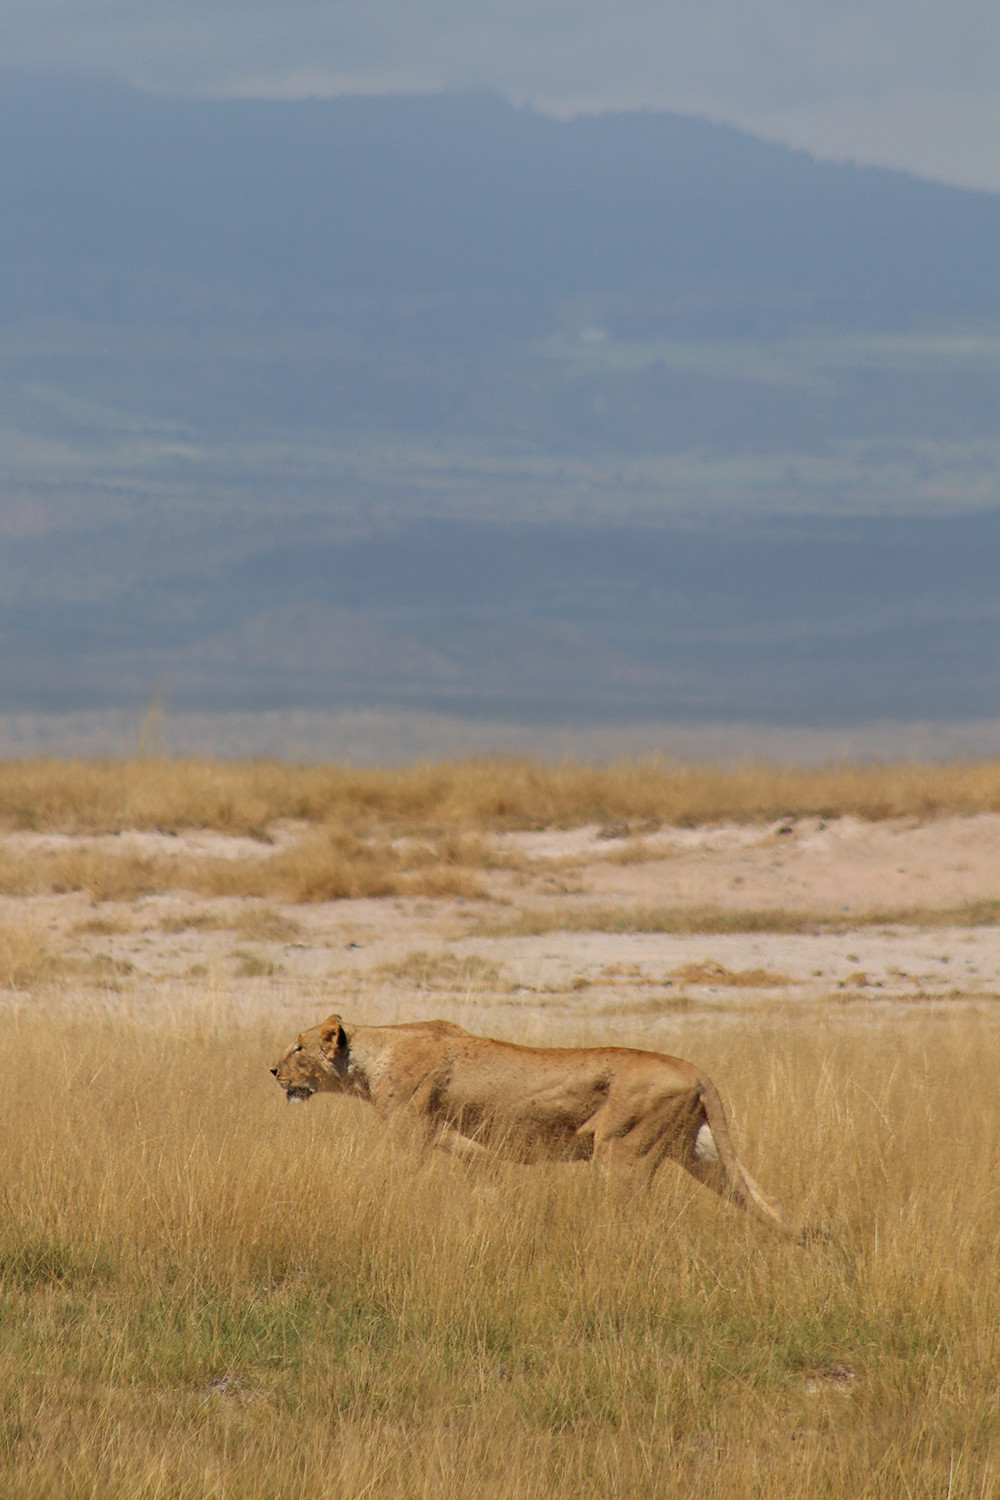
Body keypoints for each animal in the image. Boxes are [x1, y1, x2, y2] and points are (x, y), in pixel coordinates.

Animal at [271, 1014, 793, 1236]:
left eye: (298, 1046)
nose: (272, 1071)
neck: (371, 1056)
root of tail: (694, 1069)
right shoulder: (467, 1146)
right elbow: (484, 1185)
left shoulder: (408, 1135)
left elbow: (389, 1181)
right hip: (699, 1152)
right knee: (757, 1197)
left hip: (621, 1154)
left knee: (635, 1217)